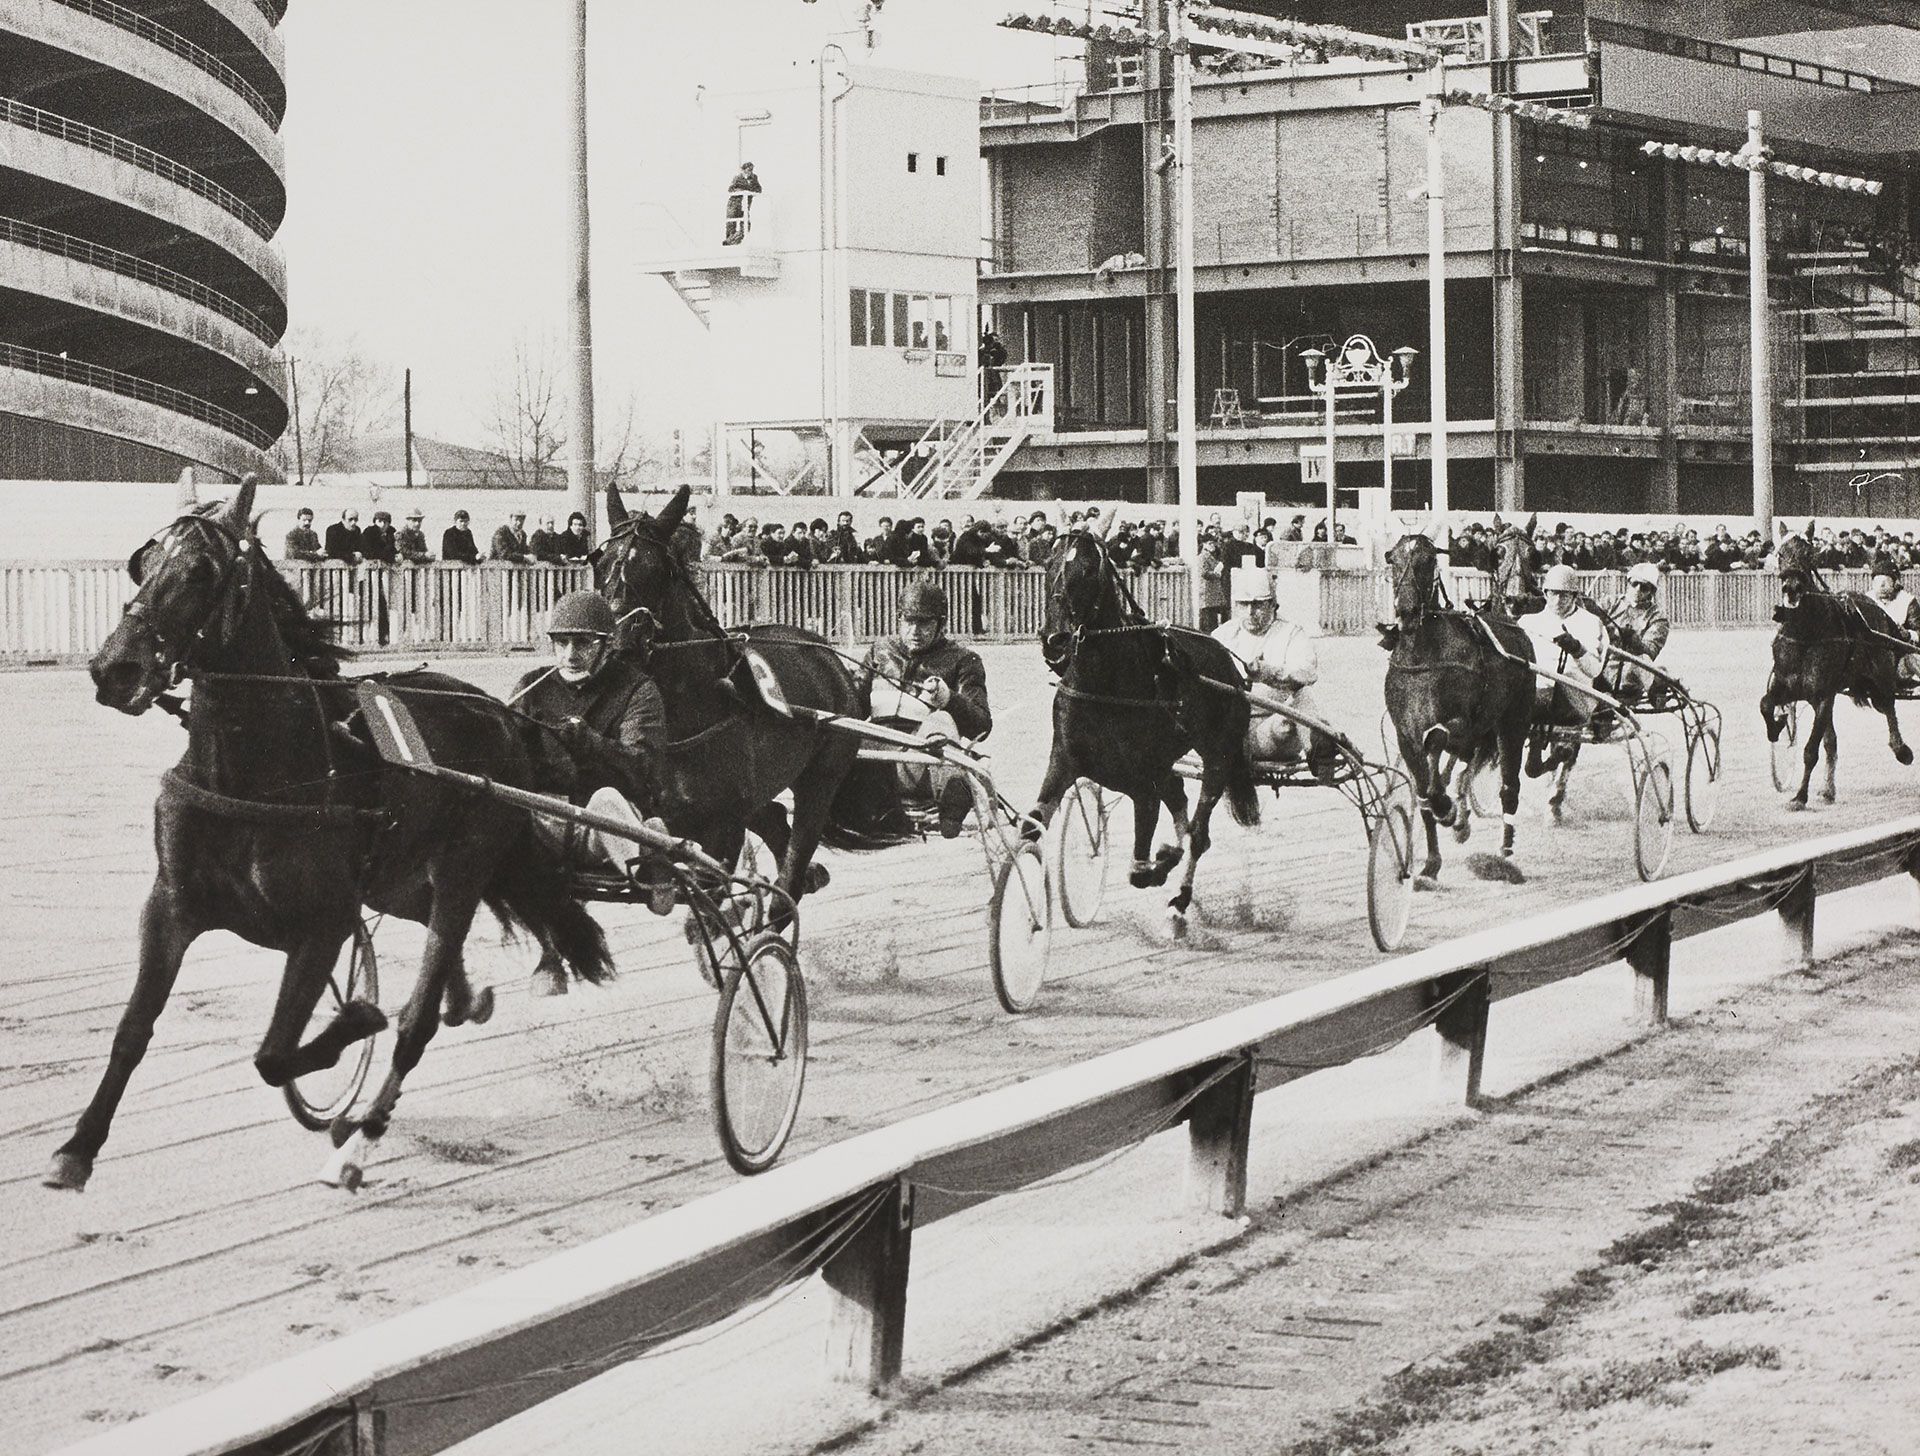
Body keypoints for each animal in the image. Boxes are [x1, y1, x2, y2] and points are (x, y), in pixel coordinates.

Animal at [58, 484, 622, 1190]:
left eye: (201, 571)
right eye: (144, 562)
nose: (115, 669)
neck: (259, 771)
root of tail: (501, 716)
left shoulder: (322, 922)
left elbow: (276, 1054)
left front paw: (358, 1017)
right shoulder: (172, 905)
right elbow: (133, 1030)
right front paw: (77, 1147)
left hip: (465, 866)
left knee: (417, 1017)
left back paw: (362, 1137)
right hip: (396, 880)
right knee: (433, 943)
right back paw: (463, 1000)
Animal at [591, 489, 890, 922]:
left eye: (658, 569)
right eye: (600, 563)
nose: (618, 643)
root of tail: (828, 657)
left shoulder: (724, 827)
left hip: (821, 777)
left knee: (797, 851)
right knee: (775, 822)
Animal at [1036, 526, 1259, 933]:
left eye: (1089, 570)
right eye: (1049, 563)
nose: (1055, 640)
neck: (1104, 682)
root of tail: (1228, 661)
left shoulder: (1142, 781)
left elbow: (1143, 867)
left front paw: (1162, 861)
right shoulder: (1063, 762)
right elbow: (1032, 824)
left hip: (1218, 754)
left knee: (1198, 833)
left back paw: (1180, 898)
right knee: (1179, 797)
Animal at [1382, 530, 1528, 883]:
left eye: (1427, 561)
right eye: (1394, 560)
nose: (1406, 611)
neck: (1422, 654)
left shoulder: (1461, 721)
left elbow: (1437, 741)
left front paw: (1445, 807)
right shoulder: (1405, 736)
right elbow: (1423, 793)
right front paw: (1431, 863)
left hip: (1513, 722)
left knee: (1508, 785)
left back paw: (1505, 852)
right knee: (1464, 764)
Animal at [1758, 533, 1912, 810]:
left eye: (1809, 553)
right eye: (1780, 553)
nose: (1791, 587)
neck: (1805, 633)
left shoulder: (1822, 695)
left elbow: (1811, 750)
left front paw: (1799, 797)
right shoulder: (1789, 687)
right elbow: (1766, 705)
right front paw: (1777, 725)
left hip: (1880, 682)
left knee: (1889, 709)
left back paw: (1902, 750)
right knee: (1833, 740)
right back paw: (1828, 789)